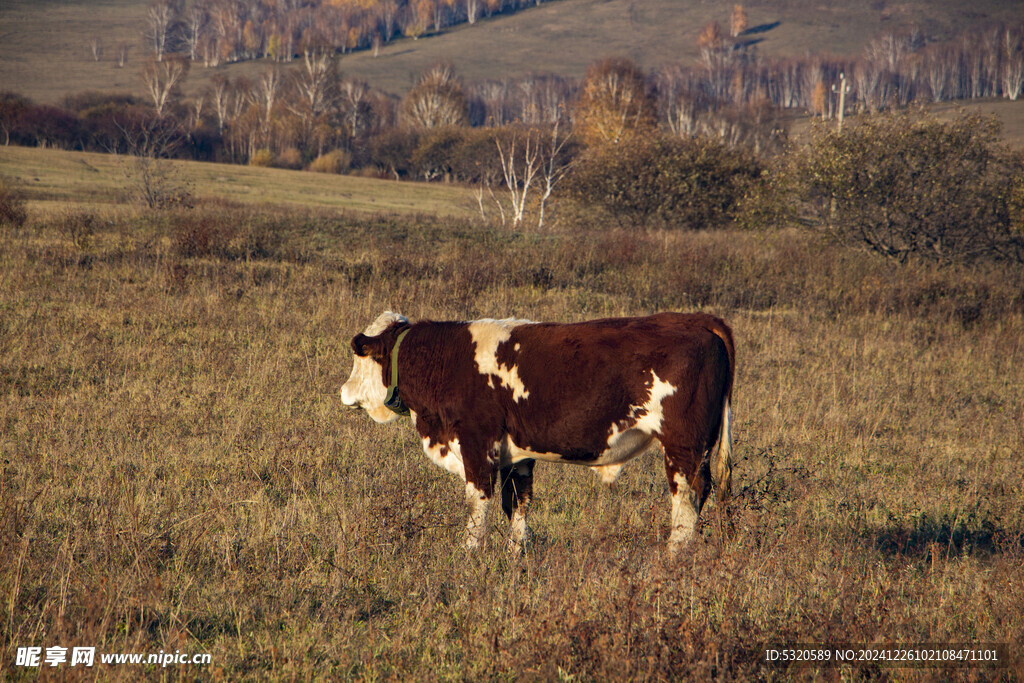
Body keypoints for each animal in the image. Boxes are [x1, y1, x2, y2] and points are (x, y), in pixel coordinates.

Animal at [339, 309, 733, 557]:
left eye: (359, 355)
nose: (343, 391)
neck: (446, 359)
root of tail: (699, 319)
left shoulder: (477, 444)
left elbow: (478, 503)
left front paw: (468, 554)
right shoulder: (517, 455)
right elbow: (517, 502)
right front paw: (516, 554)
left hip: (682, 446)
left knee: (685, 500)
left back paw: (673, 557)